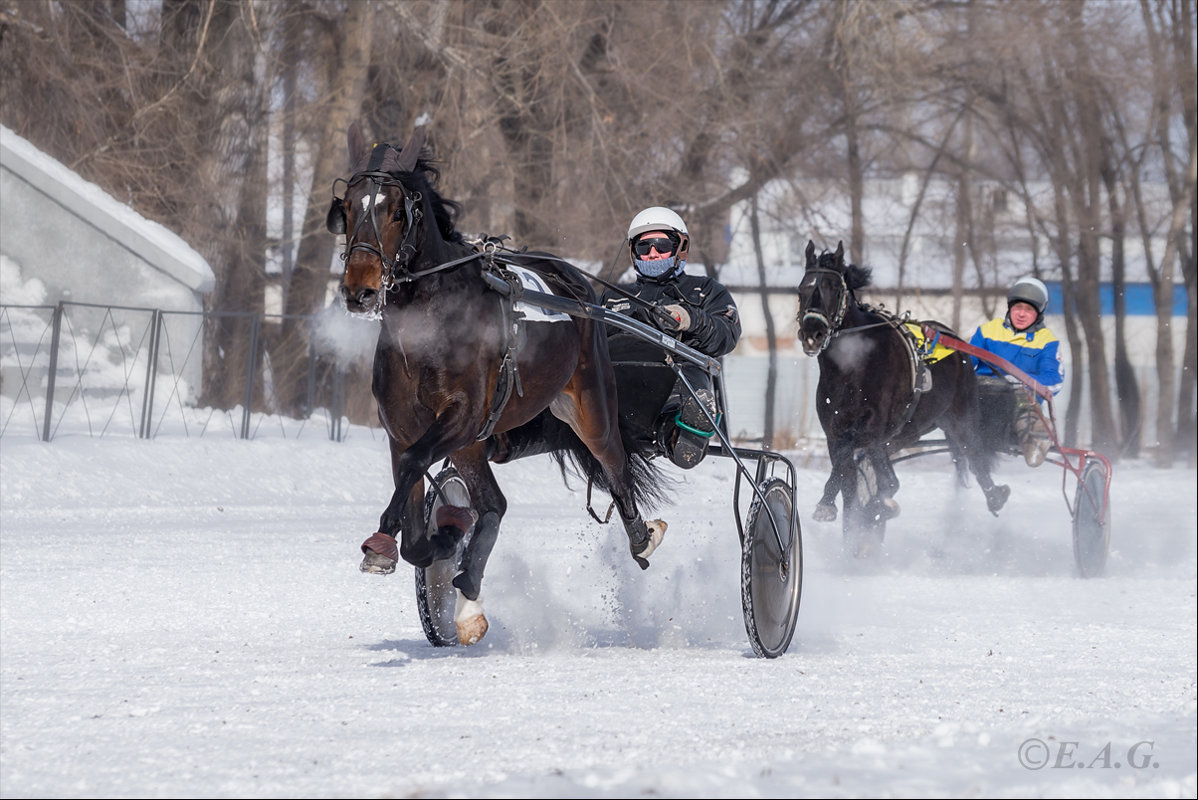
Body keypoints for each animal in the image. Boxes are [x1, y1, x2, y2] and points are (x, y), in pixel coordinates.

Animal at [328, 123, 666, 641]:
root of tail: (575, 281)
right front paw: (443, 536)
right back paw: (468, 587)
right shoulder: (403, 427)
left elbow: (415, 464)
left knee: (615, 464)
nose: (359, 290)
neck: (431, 323)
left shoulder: (463, 415)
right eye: (347, 207)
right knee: (495, 504)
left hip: (589, 404)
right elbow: (415, 526)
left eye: (395, 210)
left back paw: (642, 538)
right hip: (475, 443)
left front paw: (389, 539)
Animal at [795, 240, 1011, 555]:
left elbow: (867, 467)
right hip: (905, 432)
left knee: (974, 452)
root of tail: (955, 340)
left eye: (833, 288)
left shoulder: (871, 429)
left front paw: (870, 508)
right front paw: (840, 511)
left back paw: (995, 494)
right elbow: (847, 471)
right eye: (802, 289)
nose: (813, 333)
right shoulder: (836, 431)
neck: (854, 364)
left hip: (961, 416)